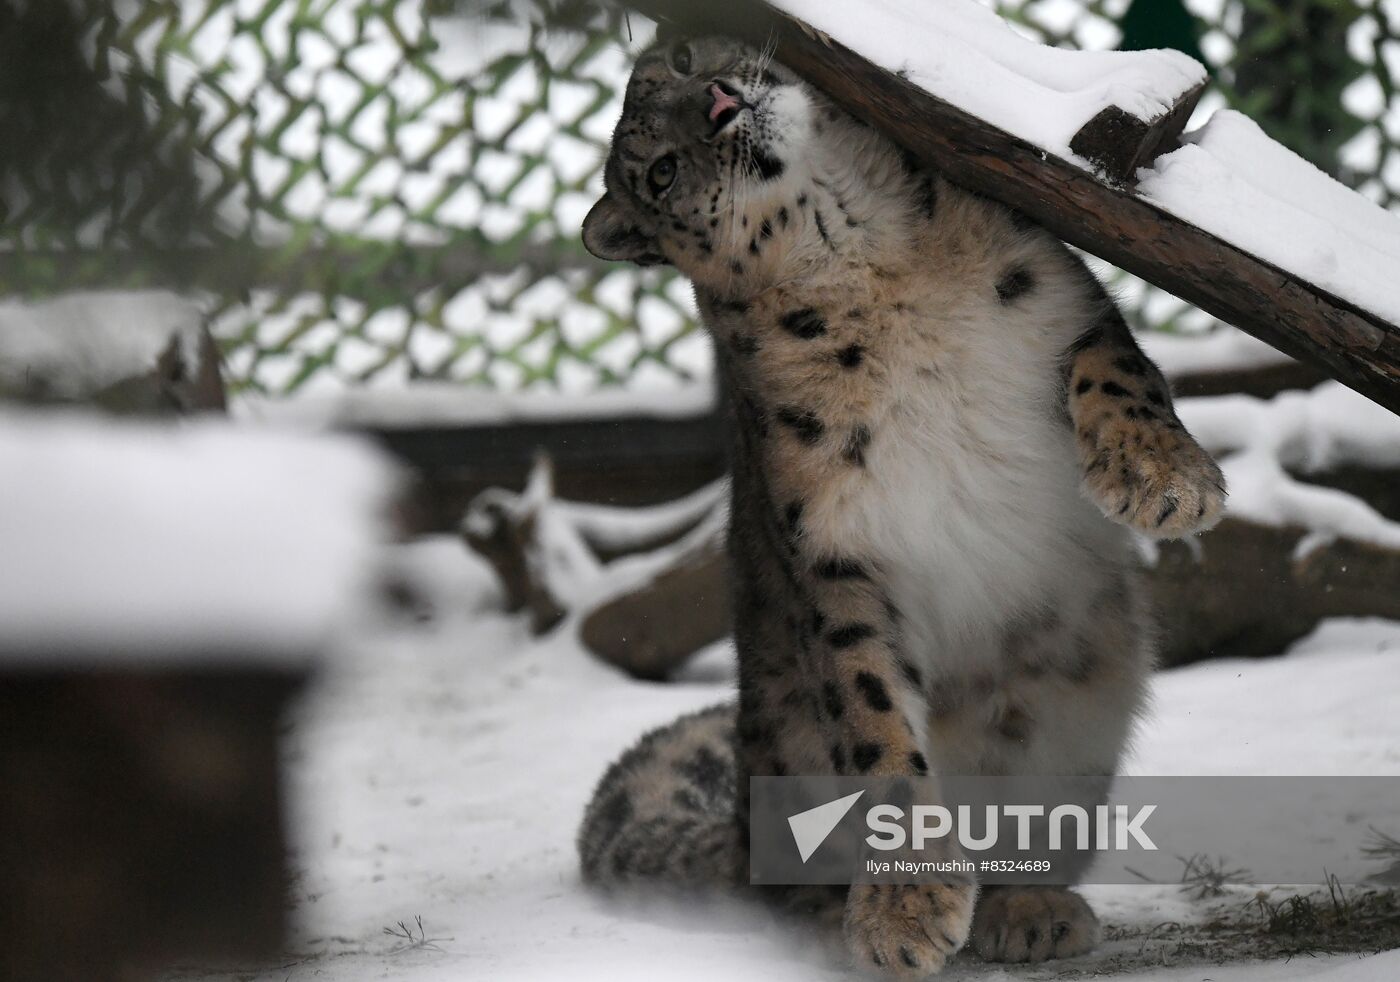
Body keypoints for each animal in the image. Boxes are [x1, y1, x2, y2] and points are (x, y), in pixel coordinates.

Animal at [574, 34, 1220, 974]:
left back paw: (1028, 909)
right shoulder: (837, 552)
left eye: (686, 64)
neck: (871, 257)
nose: (724, 102)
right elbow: (875, 721)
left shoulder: (1069, 303)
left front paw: (1165, 479)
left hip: (1079, 728)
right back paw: (834, 924)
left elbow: (1120, 370)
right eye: (658, 173)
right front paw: (904, 914)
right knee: (778, 881)